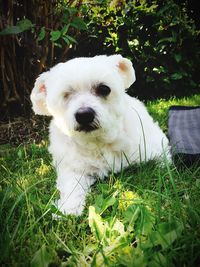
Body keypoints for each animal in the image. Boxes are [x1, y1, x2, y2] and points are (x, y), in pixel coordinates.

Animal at [30, 55, 170, 216]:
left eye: (104, 89)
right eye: (66, 95)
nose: (84, 115)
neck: (99, 141)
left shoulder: (154, 145)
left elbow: (164, 160)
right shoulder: (73, 168)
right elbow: (72, 187)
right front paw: (69, 208)